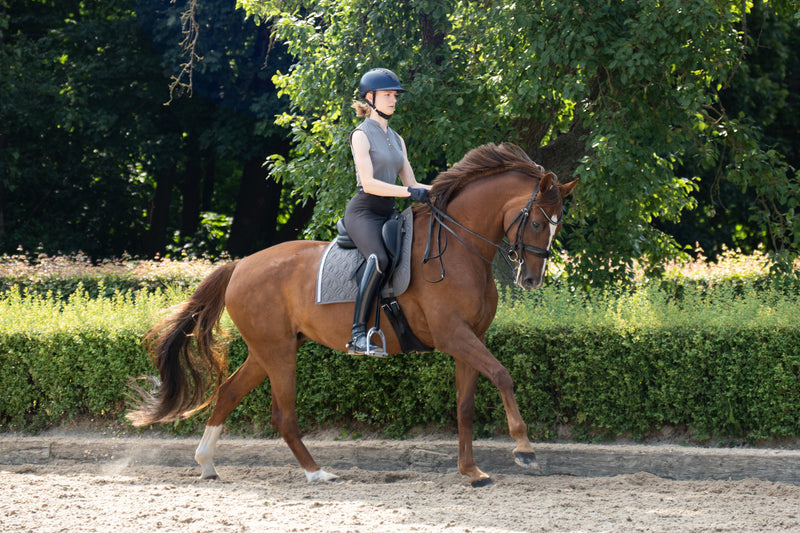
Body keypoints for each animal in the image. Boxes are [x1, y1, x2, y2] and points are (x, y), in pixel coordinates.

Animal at [127, 142, 579, 487]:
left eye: (558, 225)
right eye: (537, 222)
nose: (532, 280)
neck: (457, 247)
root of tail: (240, 265)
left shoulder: (470, 339)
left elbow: (465, 406)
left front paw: (471, 471)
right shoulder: (454, 335)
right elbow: (503, 375)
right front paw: (524, 449)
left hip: (268, 349)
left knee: (228, 393)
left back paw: (207, 463)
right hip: (277, 352)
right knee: (282, 414)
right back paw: (317, 473)